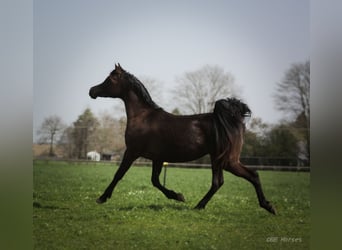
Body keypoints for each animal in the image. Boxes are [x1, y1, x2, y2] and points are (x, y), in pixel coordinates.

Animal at [88, 63, 276, 214]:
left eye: (110, 79)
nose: (92, 91)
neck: (144, 117)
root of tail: (233, 120)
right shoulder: (158, 158)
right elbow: (155, 181)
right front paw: (178, 196)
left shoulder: (132, 151)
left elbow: (119, 174)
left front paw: (102, 198)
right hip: (220, 159)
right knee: (224, 181)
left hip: (227, 160)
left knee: (247, 176)